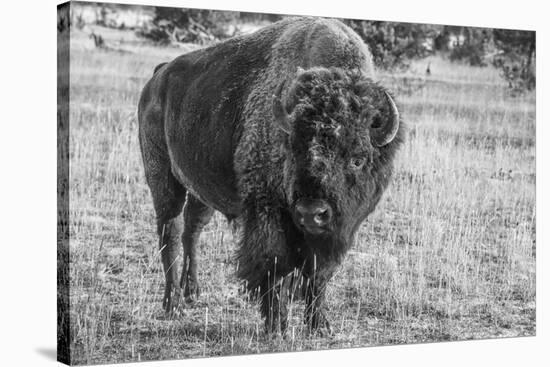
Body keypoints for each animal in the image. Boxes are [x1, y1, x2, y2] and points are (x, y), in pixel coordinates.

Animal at [139, 15, 406, 334]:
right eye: (293, 151)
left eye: (357, 159)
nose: (312, 213)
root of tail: (158, 76)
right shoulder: (268, 212)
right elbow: (274, 264)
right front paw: (276, 324)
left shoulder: (335, 230)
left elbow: (319, 272)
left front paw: (319, 324)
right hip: (163, 178)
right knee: (170, 231)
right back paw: (174, 305)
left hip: (200, 189)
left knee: (192, 230)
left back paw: (192, 292)